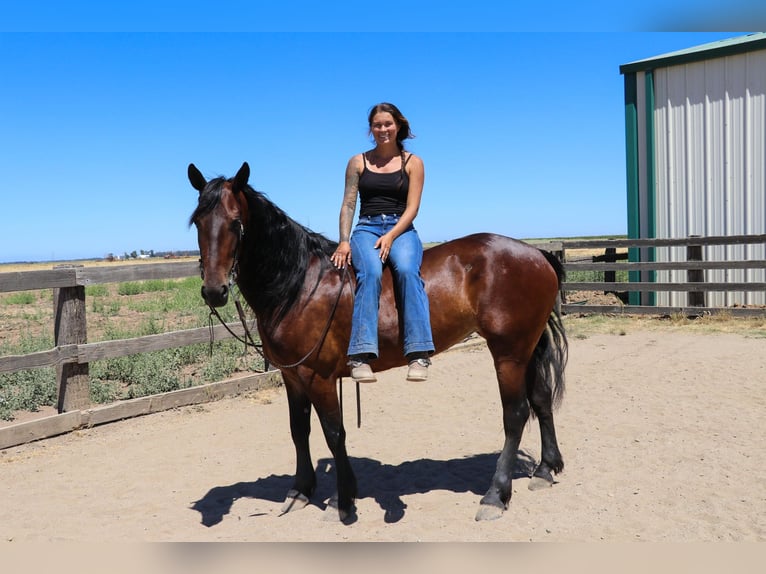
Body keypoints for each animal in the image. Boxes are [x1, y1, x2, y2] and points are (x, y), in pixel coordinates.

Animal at [188, 161, 568, 522]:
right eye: (198, 223)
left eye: (236, 223)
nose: (214, 291)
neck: (301, 285)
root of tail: (536, 254)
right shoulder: (292, 377)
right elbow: (299, 430)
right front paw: (301, 490)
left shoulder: (318, 377)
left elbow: (334, 433)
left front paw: (342, 501)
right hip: (526, 348)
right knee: (541, 400)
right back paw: (545, 469)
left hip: (508, 353)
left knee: (515, 415)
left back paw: (495, 495)